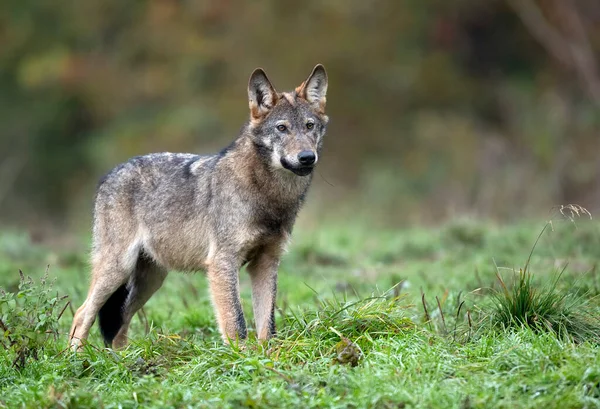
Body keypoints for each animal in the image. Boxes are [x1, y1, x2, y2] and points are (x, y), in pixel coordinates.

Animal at [68, 63, 330, 348]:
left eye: (309, 126)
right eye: (282, 128)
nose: (307, 157)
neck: (267, 195)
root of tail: (110, 174)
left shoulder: (266, 262)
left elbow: (267, 326)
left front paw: (267, 356)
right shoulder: (222, 263)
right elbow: (236, 323)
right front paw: (239, 356)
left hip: (151, 280)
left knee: (120, 320)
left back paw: (122, 358)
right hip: (118, 269)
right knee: (82, 313)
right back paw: (76, 357)